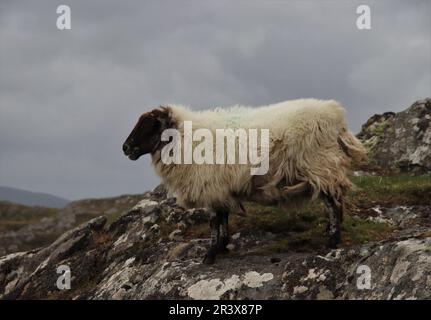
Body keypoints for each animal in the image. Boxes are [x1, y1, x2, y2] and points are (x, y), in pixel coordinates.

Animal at [122, 99, 368, 264]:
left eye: (150, 125)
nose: (125, 148)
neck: (183, 138)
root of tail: (335, 114)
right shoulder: (219, 188)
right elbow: (222, 219)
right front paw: (222, 248)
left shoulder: (210, 186)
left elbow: (214, 222)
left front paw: (210, 255)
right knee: (335, 200)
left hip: (319, 165)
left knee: (332, 203)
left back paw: (333, 240)